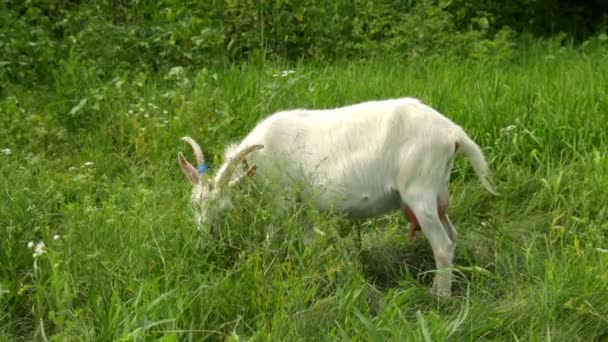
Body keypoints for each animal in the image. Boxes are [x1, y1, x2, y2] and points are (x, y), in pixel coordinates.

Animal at [178, 97, 496, 296]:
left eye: (224, 208)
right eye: (194, 206)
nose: (205, 241)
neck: (259, 157)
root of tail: (453, 134)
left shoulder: (282, 199)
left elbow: (270, 238)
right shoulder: (302, 205)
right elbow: (308, 244)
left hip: (420, 192)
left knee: (442, 244)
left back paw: (439, 296)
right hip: (437, 191)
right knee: (452, 236)